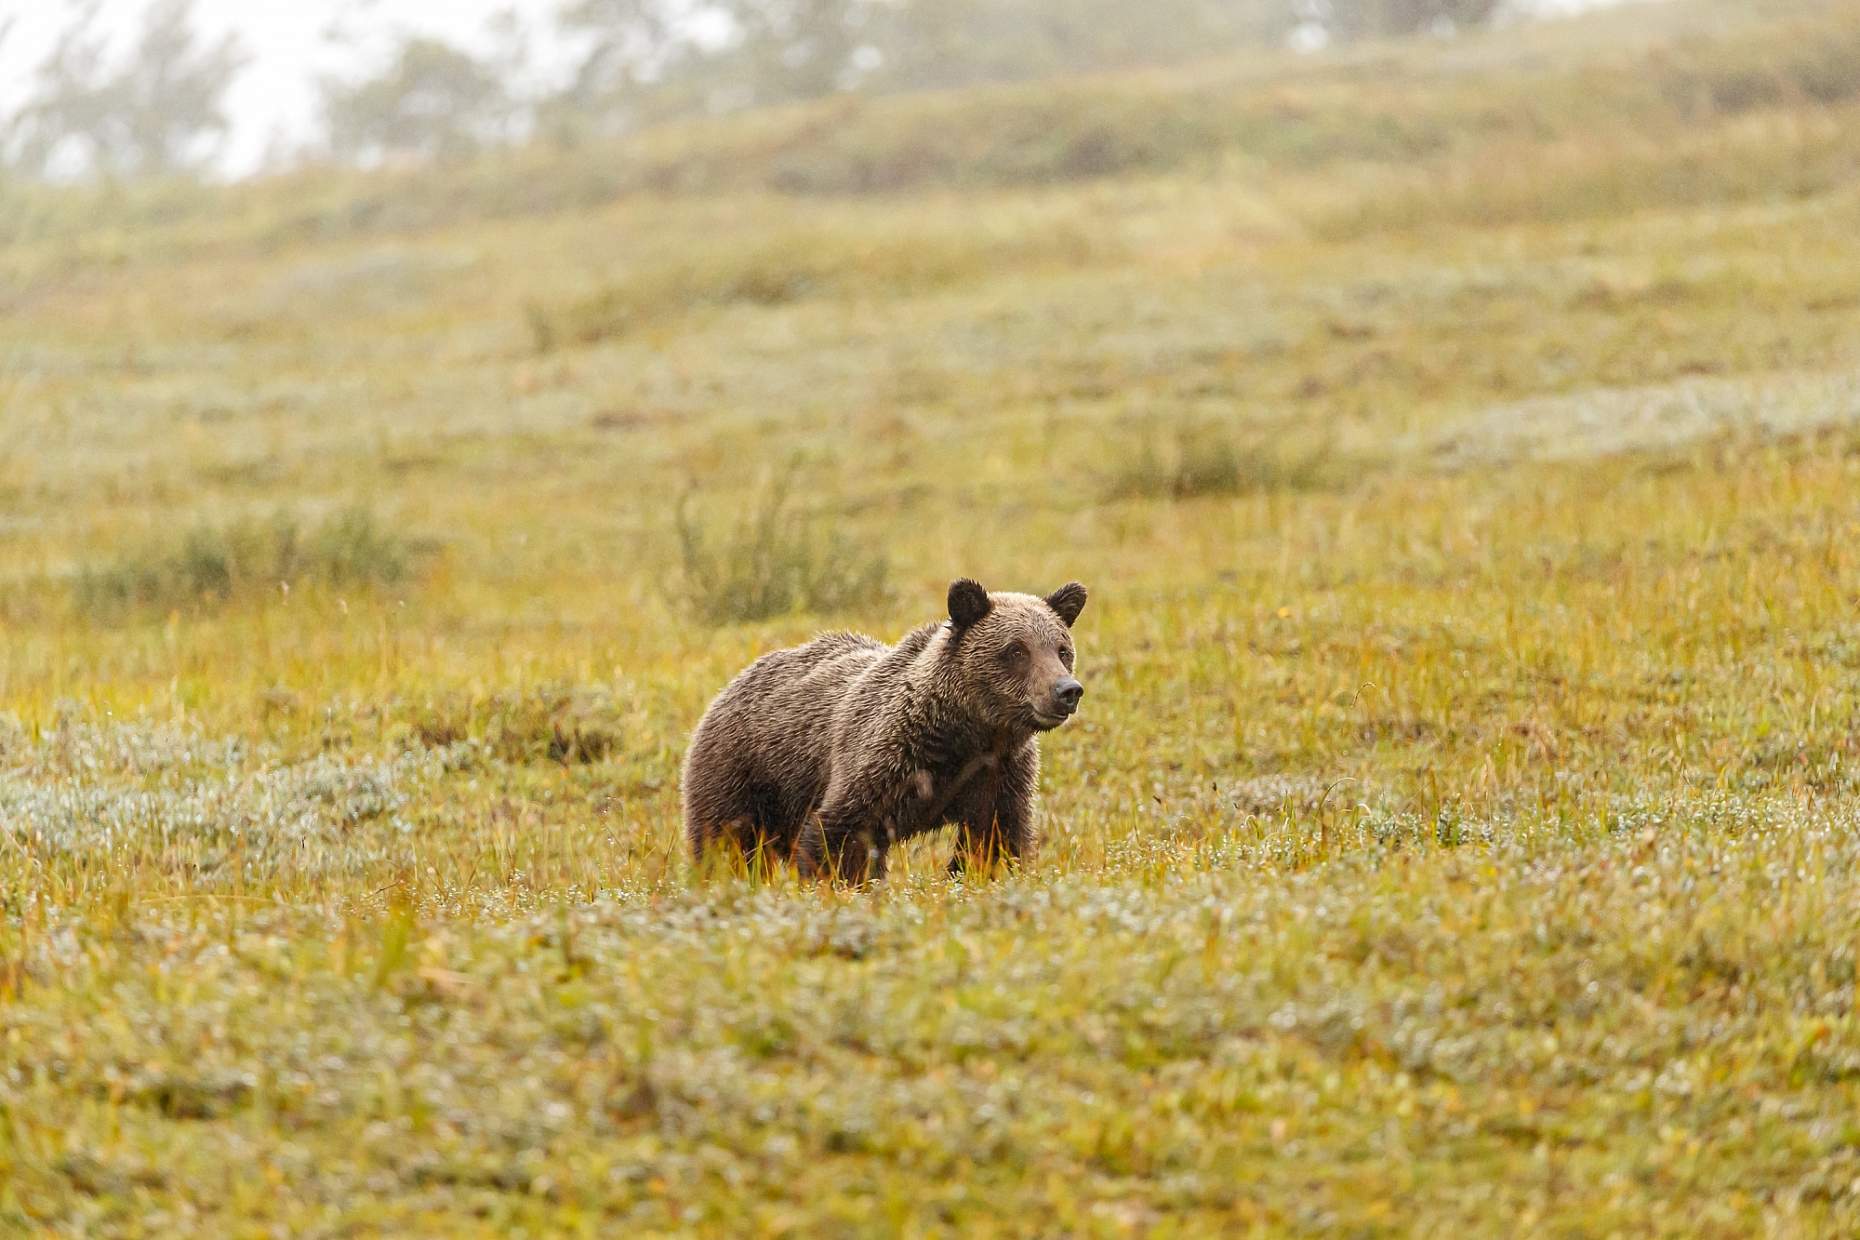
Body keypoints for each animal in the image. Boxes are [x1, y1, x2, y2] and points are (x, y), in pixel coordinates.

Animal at [688, 580, 1086, 881]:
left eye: (1061, 649)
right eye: (1017, 650)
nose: (1066, 691)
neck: (968, 732)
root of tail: (731, 686)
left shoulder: (998, 773)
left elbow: (996, 840)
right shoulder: (887, 758)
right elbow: (841, 833)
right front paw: (841, 886)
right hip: (744, 773)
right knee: (724, 842)